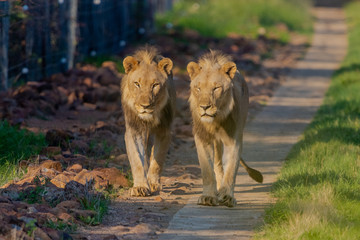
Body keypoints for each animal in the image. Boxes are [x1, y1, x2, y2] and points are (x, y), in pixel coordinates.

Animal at [120, 47, 175, 197]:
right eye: (137, 84)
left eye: (155, 85)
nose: (145, 106)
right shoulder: (134, 130)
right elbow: (137, 160)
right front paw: (140, 187)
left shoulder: (164, 130)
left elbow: (157, 159)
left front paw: (153, 183)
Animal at [187, 49, 262, 207]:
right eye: (198, 88)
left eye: (216, 88)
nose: (204, 107)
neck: (215, 121)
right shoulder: (203, 139)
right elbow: (208, 171)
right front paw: (208, 197)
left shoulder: (233, 140)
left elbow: (231, 169)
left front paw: (227, 196)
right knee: (217, 165)